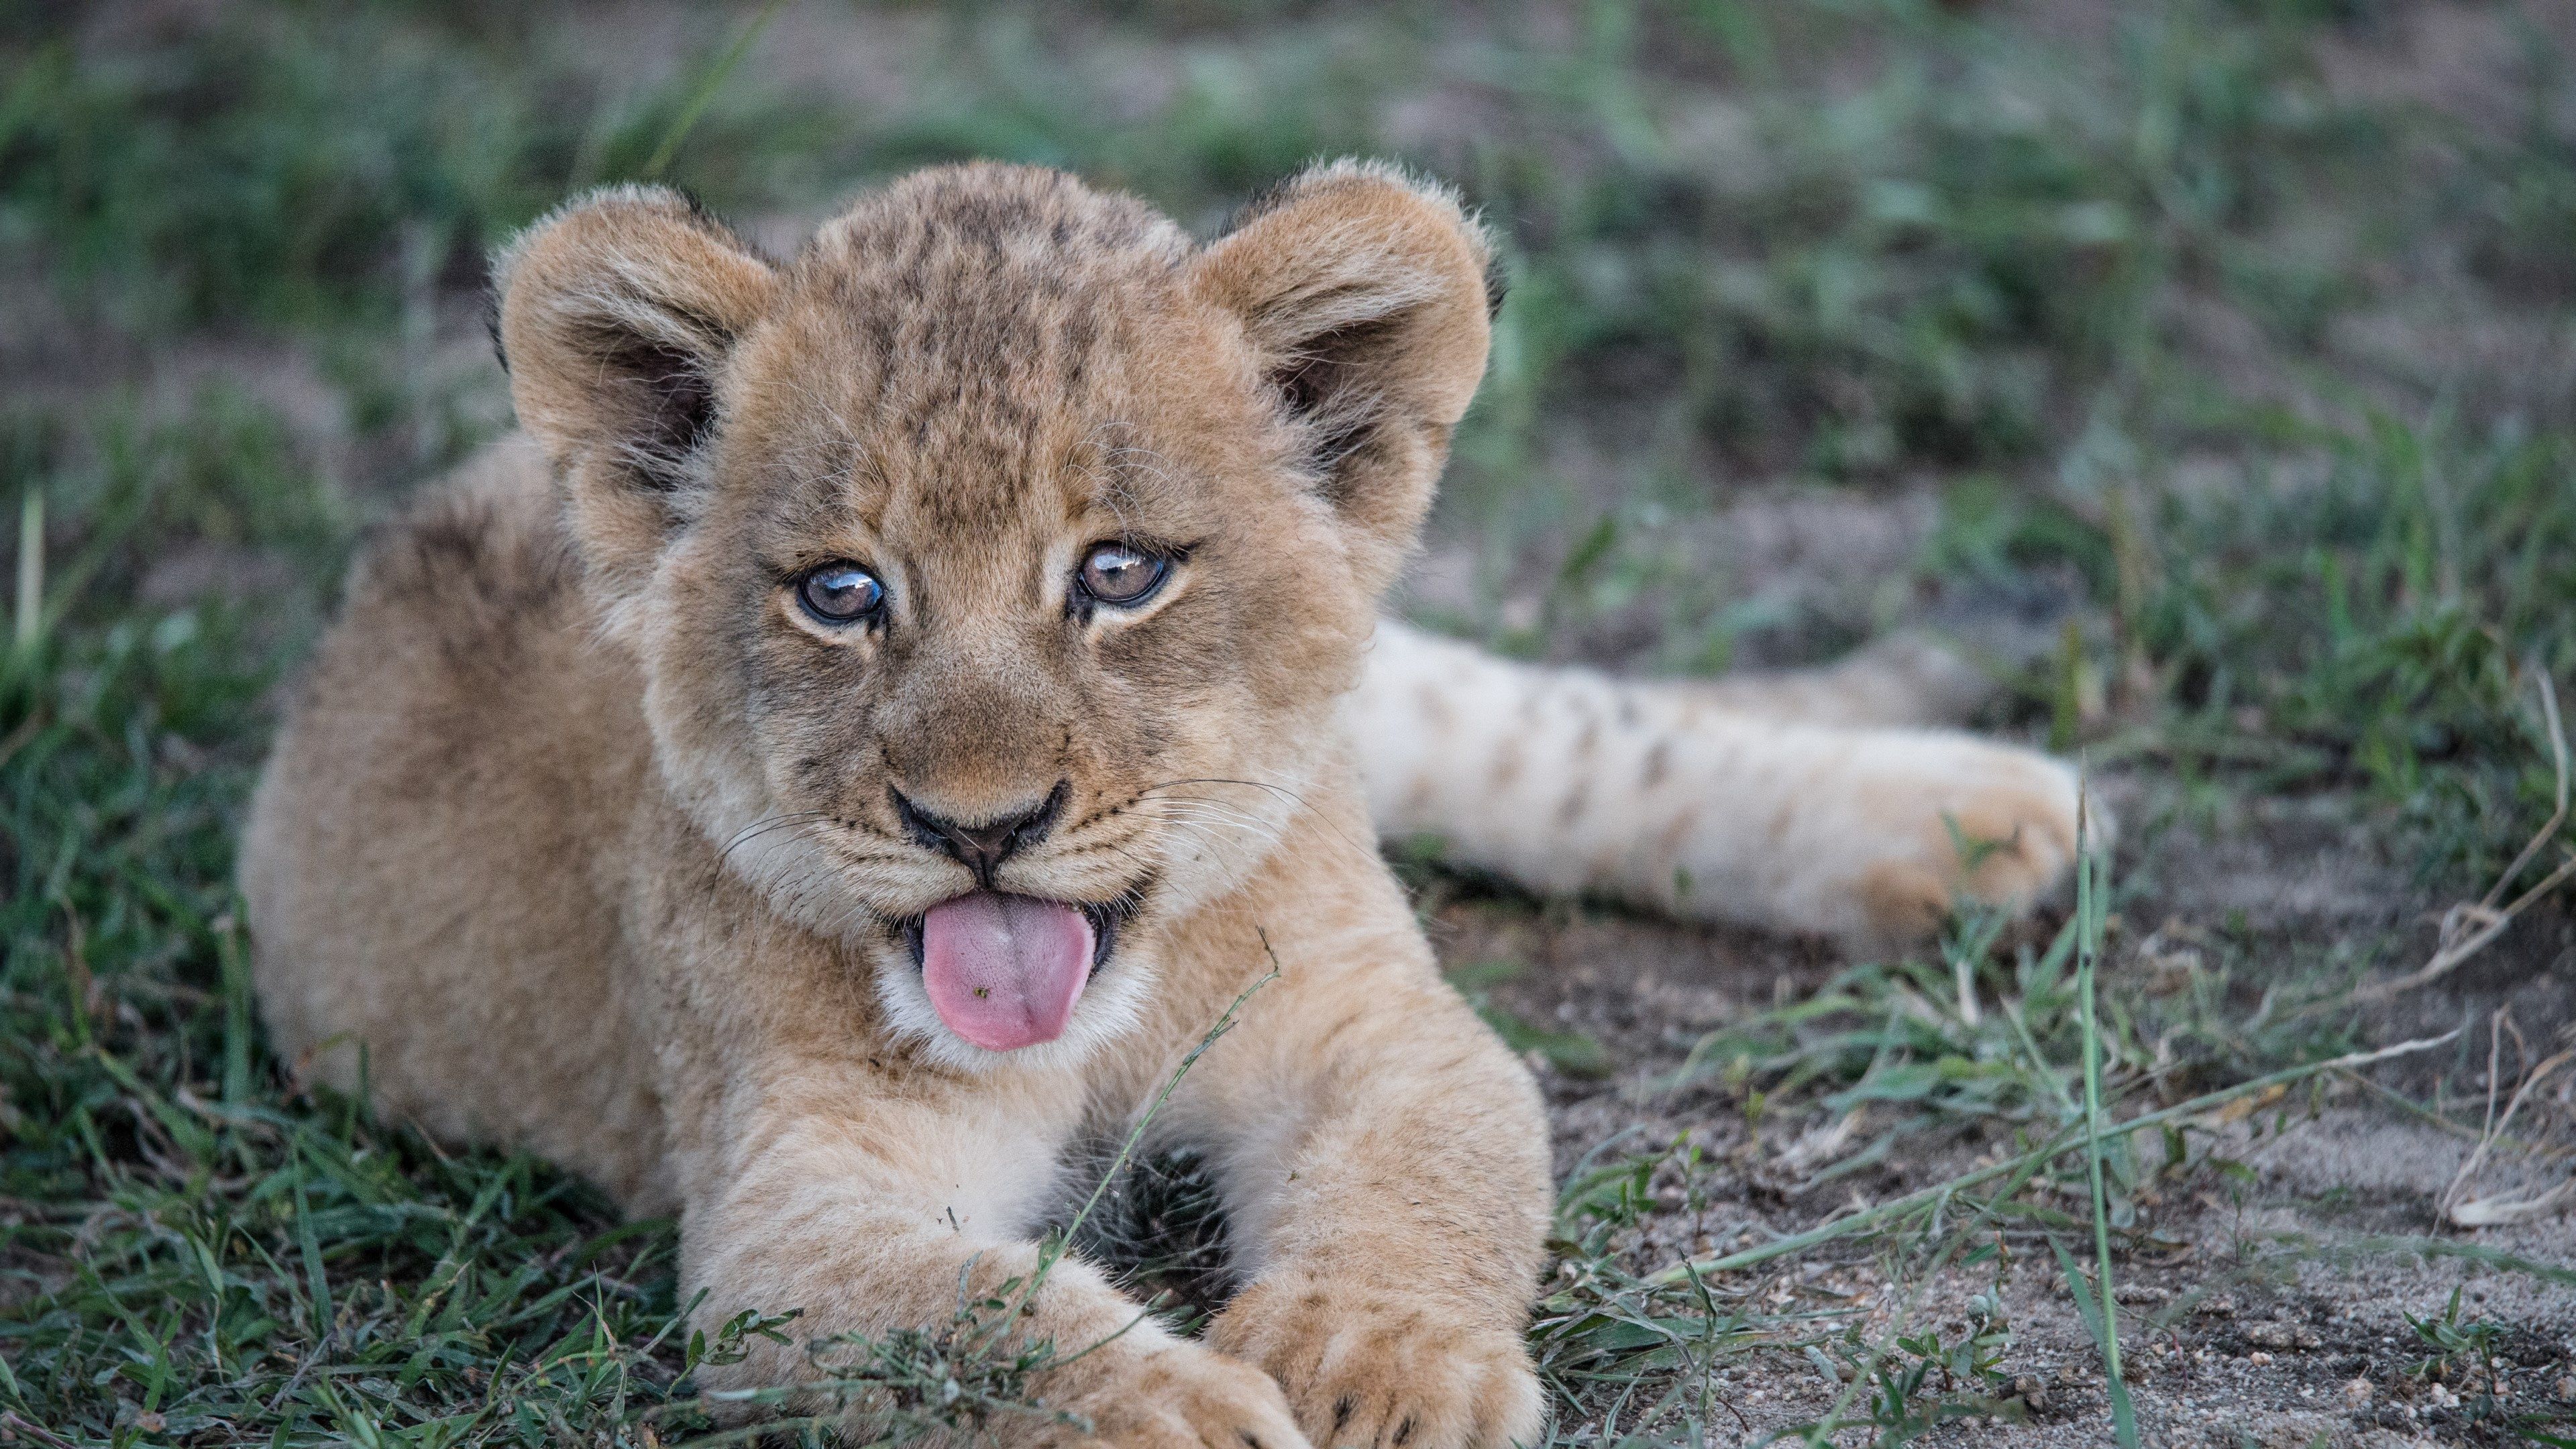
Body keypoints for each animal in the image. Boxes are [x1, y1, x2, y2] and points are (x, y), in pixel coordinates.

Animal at [240, 160, 2088, 1447]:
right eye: (843, 595)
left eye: (1118, 573)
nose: (979, 824)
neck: (1105, 1026)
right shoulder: (783, 1208)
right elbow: (968, 1320)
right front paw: (1187, 1411)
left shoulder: (1376, 1017)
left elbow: (1438, 1163)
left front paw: (1370, 1362)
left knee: (1562, 733)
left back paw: (1982, 817)